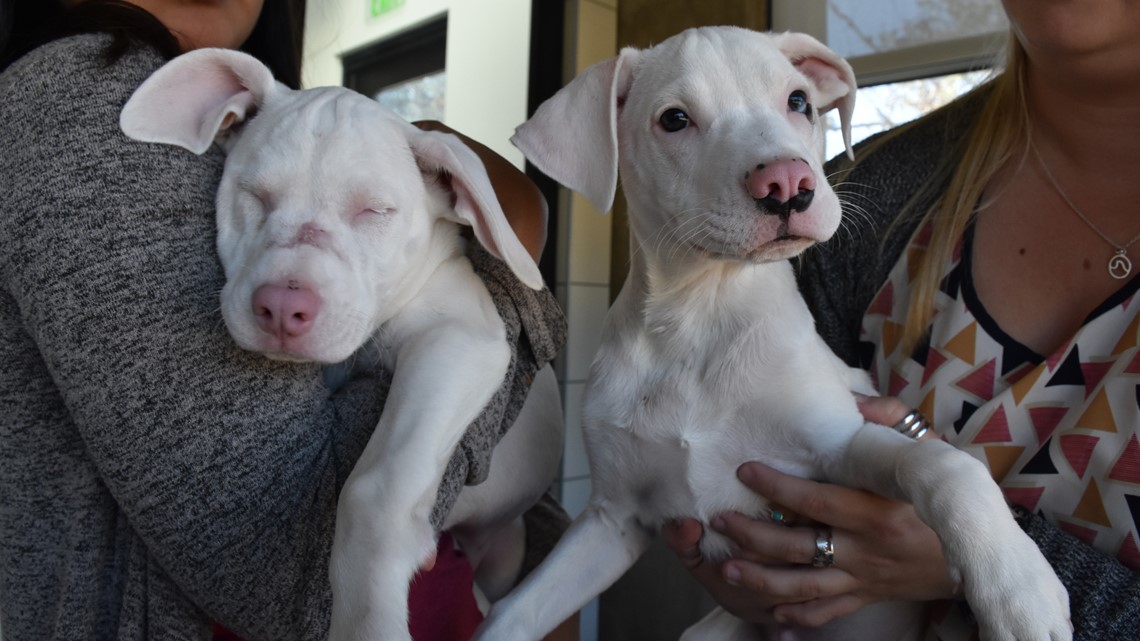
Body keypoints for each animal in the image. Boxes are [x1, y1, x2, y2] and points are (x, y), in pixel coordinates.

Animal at [469, 24, 1067, 638]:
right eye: (674, 119)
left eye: (799, 101)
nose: (787, 183)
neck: (701, 318)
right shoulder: (614, 517)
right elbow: (518, 609)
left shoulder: (840, 446)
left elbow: (943, 466)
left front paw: (1020, 592)